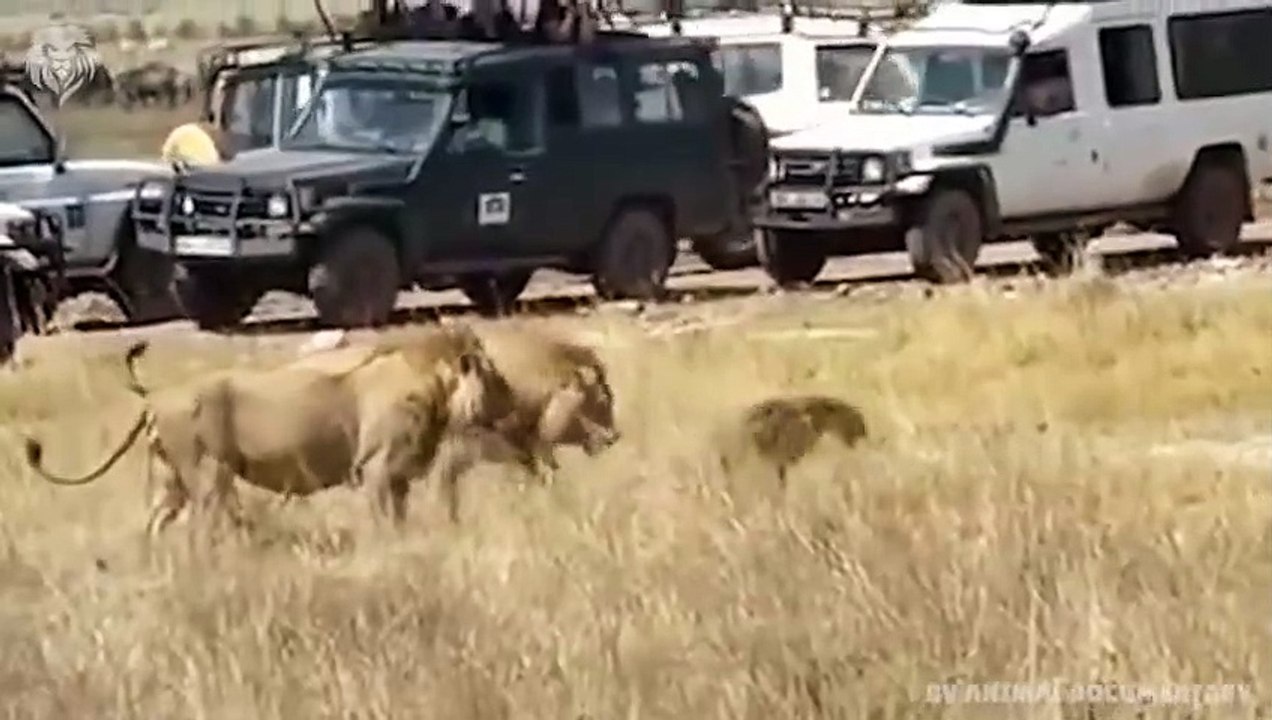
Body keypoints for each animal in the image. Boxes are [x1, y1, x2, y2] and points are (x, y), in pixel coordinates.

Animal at [24, 324, 518, 537]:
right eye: (495, 377)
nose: (514, 400)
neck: (435, 385)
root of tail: (155, 398)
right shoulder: (376, 471)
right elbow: (386, 523)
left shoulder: (397, 479)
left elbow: (402, 517)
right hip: (209, 474)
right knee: (200, 528)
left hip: (170, 479)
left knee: (156, 524)